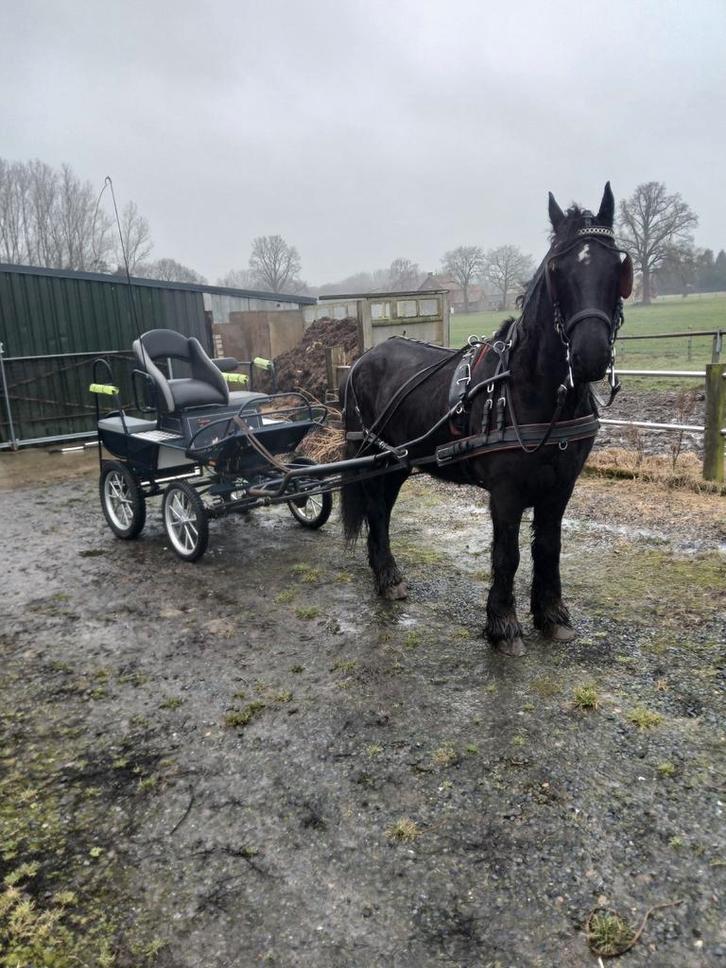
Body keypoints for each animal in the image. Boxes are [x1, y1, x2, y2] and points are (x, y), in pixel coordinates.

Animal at [341, 183, 633, 656]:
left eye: (617, 266)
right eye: (557, 268)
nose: (589, 355)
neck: (531, 388)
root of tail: (363, 359)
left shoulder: (561, 488)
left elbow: (548, 547)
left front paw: (552, 616)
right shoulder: (507, 492)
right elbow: (507, 554)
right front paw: (503, 624)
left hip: (399, 463)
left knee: (381, 510)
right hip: (375, 459)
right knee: (378, 513)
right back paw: (387, 577)